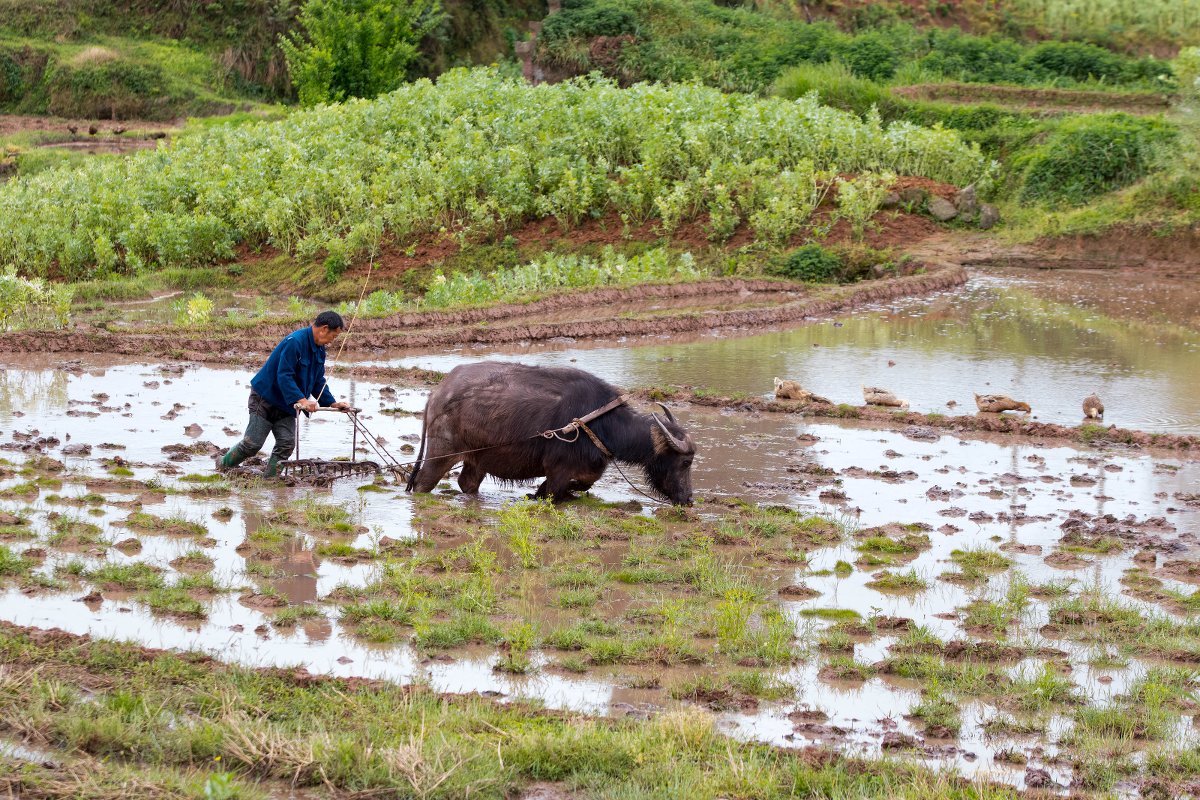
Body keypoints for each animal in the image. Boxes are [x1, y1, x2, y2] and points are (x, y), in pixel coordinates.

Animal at [408, 364, 700, 503]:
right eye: (686, 462)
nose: (689, 499)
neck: (598, 422)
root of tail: (437, 393)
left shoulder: (587, 468)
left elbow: (584, 483)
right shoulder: (557, 467)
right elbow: (554, 491)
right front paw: (537, 494)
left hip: (477, 459)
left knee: (467, 483)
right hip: (440, 453)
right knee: (423, 483)